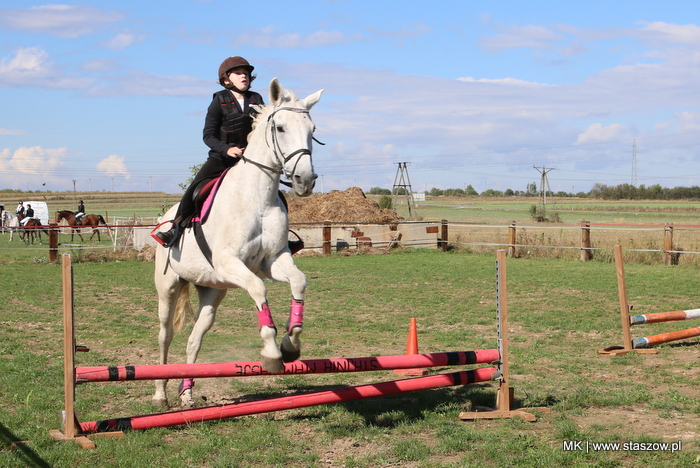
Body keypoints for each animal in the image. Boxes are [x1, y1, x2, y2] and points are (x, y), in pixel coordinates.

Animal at [153, 78, 322, 408]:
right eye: (280, 127)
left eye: (313, 129)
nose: (304, 181)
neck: (256, 197)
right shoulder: (231, 263)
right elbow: (258, 289)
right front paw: (272, 353)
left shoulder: (272, 261)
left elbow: (298, 281)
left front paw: (290, 344)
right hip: (168, 287)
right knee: (165, 336)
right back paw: (160, 394)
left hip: (212, 291)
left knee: (194, 339)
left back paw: (187, 393)